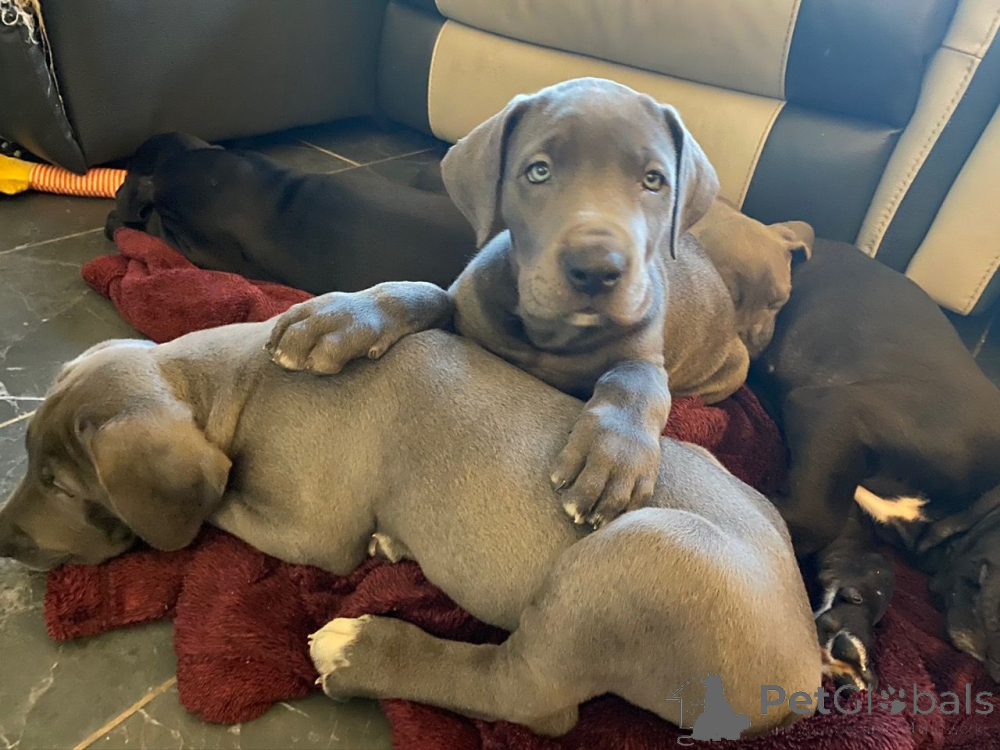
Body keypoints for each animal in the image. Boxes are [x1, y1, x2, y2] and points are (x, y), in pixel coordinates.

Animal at [0, 325, 821, 736]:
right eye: (29, 457)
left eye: (62, 486)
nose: (3, 539)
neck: (238, 377)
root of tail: (807, 680)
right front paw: (388, 540)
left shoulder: (312, 530)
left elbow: (215, 506)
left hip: (637, 552)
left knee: (529, 699)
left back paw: (360, 650)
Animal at [268, 78, 749, 529]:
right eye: (538, 172)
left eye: (653, 180)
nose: (597, 269)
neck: (550, 334)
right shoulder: (466, 303)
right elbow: (423, 291)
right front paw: (339, 317)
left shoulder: (645, 352)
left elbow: (636, 380)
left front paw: (614, 459)